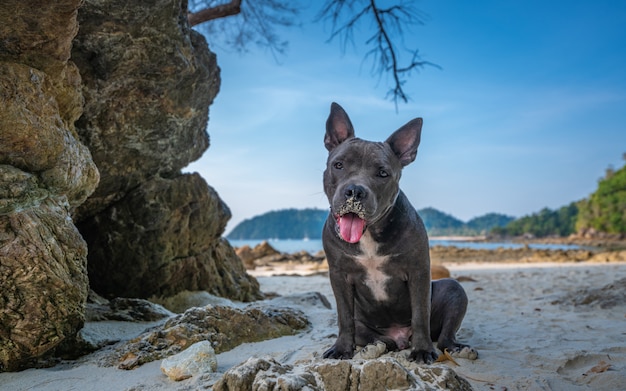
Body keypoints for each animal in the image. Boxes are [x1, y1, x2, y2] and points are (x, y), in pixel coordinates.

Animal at [322, 102, 472, 364]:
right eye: (338, 165)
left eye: (382, 173)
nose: (354, 191)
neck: (369, 234)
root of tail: (401, 338)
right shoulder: (339, 276)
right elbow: (343, 317)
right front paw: (341, 348)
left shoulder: (418, 271)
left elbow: (420, 314)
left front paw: (422, 350)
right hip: (366, 324)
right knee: (376, 337)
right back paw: (374, 347)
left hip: (453, 290)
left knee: (445, 336)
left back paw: (456, 348)